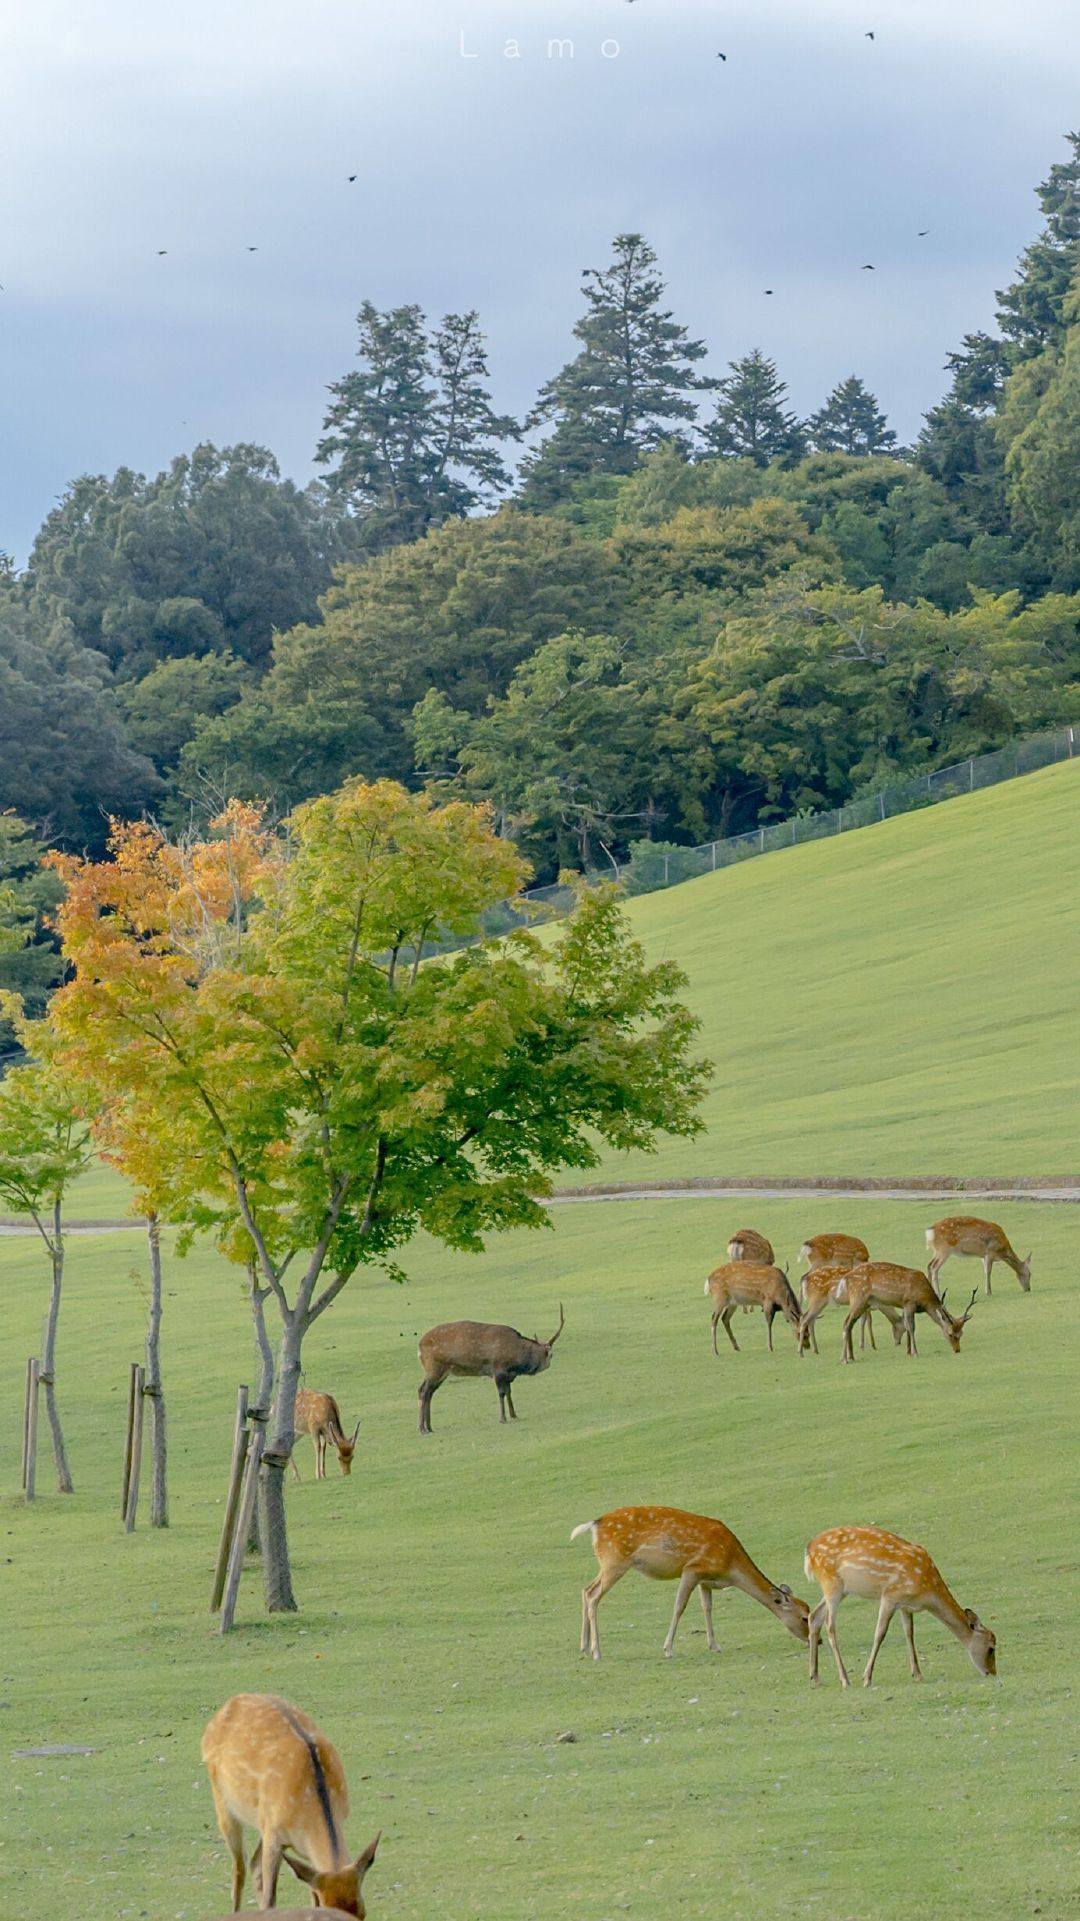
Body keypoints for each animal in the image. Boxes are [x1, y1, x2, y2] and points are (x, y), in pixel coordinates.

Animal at [200, 1690, 378, 1913]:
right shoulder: (274, 1835)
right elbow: (270, 1897)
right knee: (239, 1870)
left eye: (362, 1910)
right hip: (222, 1799)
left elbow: (311, 1895)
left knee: (253, 1865)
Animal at [413, 1306, 564, 1444]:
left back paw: (430, 1427)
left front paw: (514, 1415)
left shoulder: (508, 1375)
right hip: (433, 1367)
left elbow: (509, 1392)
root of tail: (419, 1347)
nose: (547, 1365)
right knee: (423, 1390)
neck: (516, 1362)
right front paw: (503, 1419)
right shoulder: (498, 1369)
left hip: (442, 1371)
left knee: (429, 1392)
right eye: (549, 1354)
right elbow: (501, 1393)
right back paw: (422, 1429)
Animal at [572, 1506, 807, 1659]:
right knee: (593, 1596)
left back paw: (584, 1647)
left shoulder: (706, 1580)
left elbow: (707, 1607)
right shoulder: (692, 1569)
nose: (813, 1640)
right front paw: (668, 1649)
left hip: (607, 1564)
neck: (730, 1567)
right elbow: (679, 1606)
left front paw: (715, 1645)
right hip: (615, 1561)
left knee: (586, 1589)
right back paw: (596, 1651)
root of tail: (594, 1524)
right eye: (805, 1617)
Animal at [803, 1521, 999, 1690]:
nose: (992, 1672)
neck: (926, 1590)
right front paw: (867, 1678)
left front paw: (918, 1674)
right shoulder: (890, 1595)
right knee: (830, 1626)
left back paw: (815, 1676)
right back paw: (844, 1679)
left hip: (840, 1589)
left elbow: (909, 1632)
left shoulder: (905, 1604)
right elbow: (880, 1633)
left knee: (814, 1617)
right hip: (831, 1583)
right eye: (991, 1648)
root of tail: (809, 1551)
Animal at [834, 1260, 976, 1367]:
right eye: (950, 1334)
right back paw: (844, 1359)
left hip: (864, 1303)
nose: (957, 1350)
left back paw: (850, 1357)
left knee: (849, 1323)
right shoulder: (909, 1302)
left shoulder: (905, 1305)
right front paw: (915, 1352)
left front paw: (908, 1352)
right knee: (846, 1322)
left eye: (961, 1333)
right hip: (858, 1298)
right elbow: (911, 1327)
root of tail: (845, 1278)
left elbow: (907, 1326)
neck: (924, 1300)